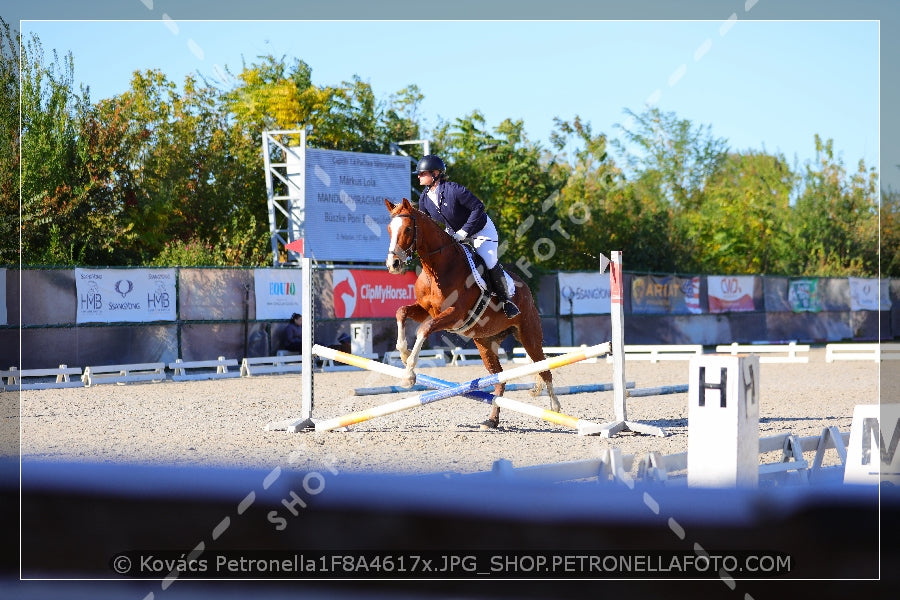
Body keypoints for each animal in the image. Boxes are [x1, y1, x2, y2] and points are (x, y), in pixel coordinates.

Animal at [384, 199, 560, 428]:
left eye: (406, 229)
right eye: (389, 229)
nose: (393, 264)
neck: (436, 268)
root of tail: (526, 289)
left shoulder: (454, 314)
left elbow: (424, 329)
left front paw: (409, 375)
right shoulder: (425, 310)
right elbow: (401, 312)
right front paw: (404, 355)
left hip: (529, 336)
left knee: (543, 368)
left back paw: (555, 408)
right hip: (485, 343)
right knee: (499, 379)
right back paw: (492, 420)